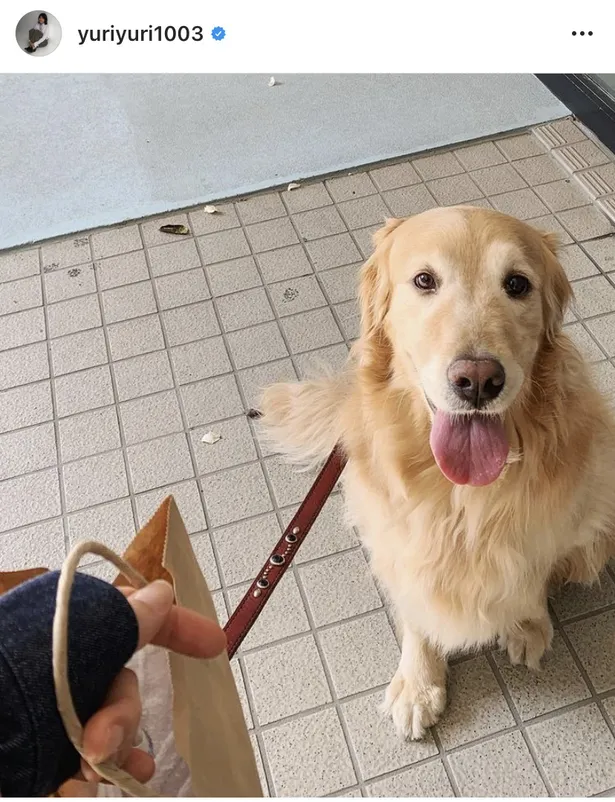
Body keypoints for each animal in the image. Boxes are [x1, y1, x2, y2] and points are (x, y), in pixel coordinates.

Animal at [262, 205, 615, 736]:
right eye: (424, 280)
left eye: (517, 284)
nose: (478, 380)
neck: (461, 494)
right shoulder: (396, 539)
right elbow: (416, 608)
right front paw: (419, 682)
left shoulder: (558, 522)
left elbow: (532, 576)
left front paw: (527, 623)